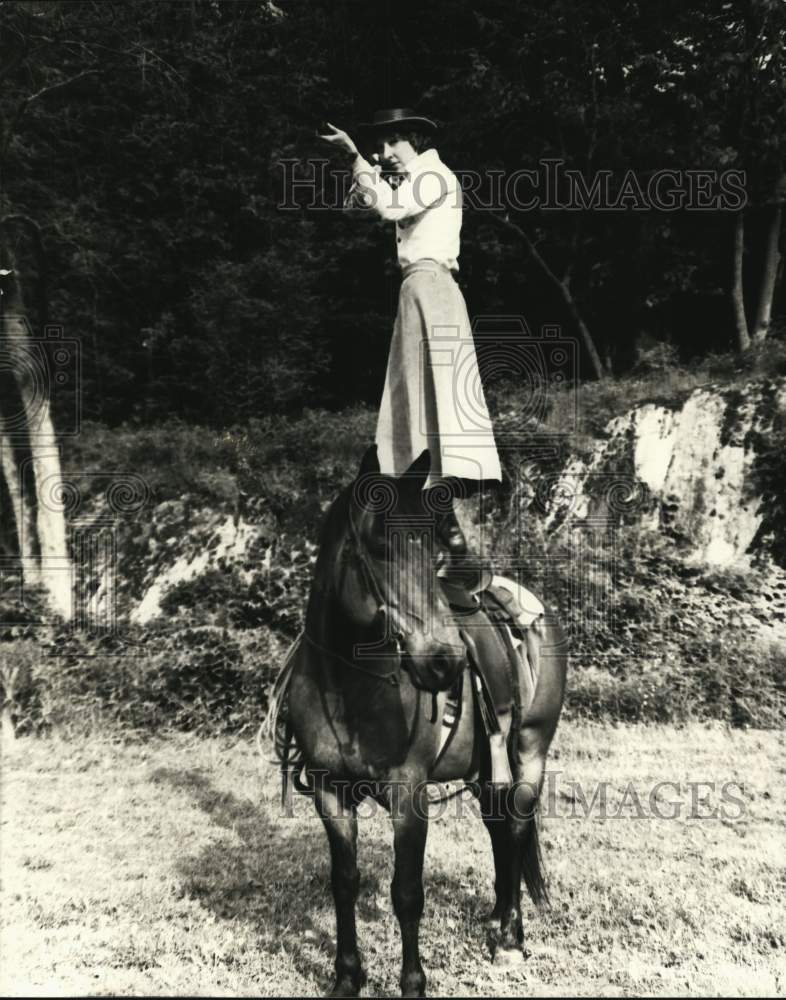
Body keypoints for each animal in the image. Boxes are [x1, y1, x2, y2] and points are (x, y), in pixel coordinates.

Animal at [284, 450, 568, 996]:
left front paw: (412, 982)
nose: (445, 662)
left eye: (432, 545)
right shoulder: (330, 793)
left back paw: (511, 939)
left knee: (516, 828)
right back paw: (497, 919)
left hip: (529, 751)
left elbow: (407, 892)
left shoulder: (408, 794)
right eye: (378, 545)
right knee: (499, 828)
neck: (345, 687)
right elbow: (344, 883)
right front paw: (347, 976)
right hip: (485, 769)